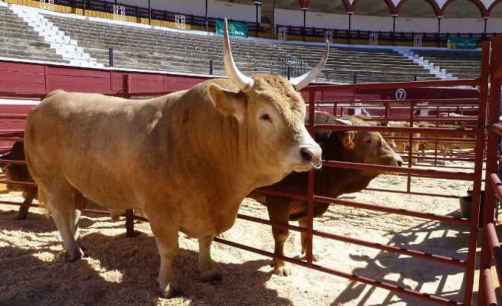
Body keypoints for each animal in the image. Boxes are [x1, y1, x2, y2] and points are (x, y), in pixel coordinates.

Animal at [25, 19, 328, 296]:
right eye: (265, 115)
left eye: (302, 111)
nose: (313, 153)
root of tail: (53, 96)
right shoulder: (160, 210)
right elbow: (170, 249)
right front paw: (167, 284)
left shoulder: (208, 210)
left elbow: (206, 240)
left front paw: (208, 270)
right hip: (52, 180)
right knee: (61, 214)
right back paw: (73, 250)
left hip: (74, 183)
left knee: (73, 213)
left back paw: (79, 244)